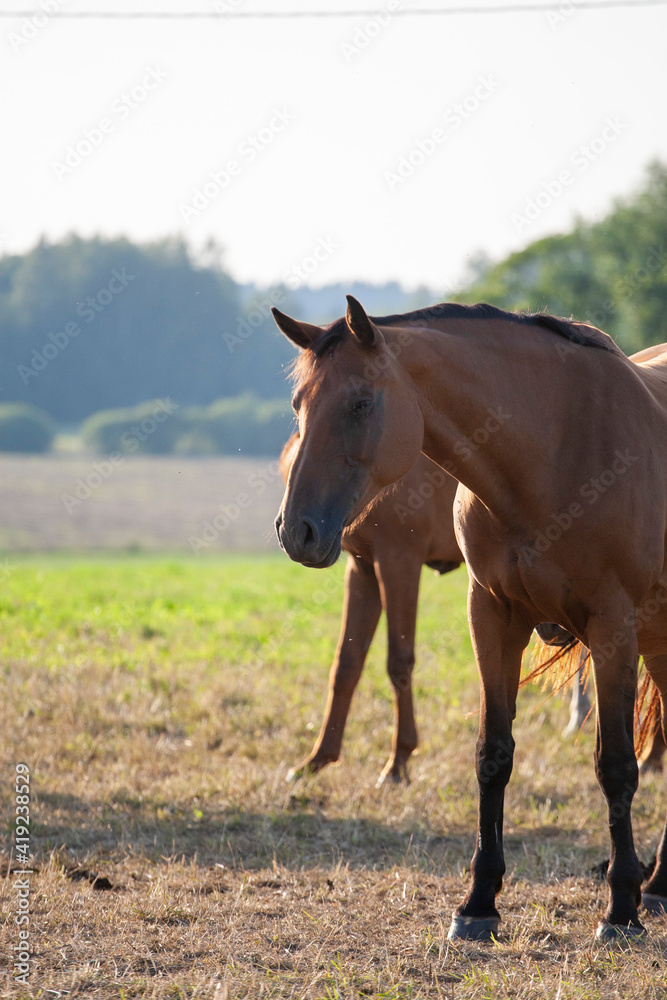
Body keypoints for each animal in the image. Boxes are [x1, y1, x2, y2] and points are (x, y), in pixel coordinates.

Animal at [279, 432, 463, 786]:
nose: (296, 532)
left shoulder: (398, 562)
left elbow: (399, 661)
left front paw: (399, 761)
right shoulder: (362, 569)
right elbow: (347, 664)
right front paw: (319, 758)